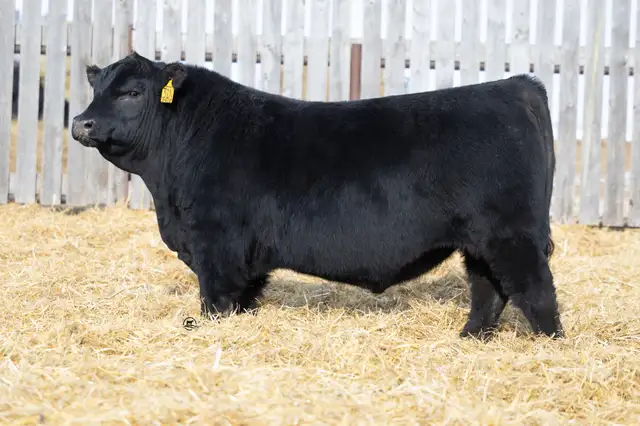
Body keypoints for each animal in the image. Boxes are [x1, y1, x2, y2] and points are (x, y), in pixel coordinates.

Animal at [70, 51, 564, 340]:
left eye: (133, 92)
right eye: (96, 88)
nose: (81, 122)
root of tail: (518, 85)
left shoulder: (216, 241)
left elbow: (217, 298)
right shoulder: (244, 254)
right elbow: (246, 295)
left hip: (511, 234)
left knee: (534, 290)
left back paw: (548, 345)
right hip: (480, 241)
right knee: (488, 290)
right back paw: (469, 338)